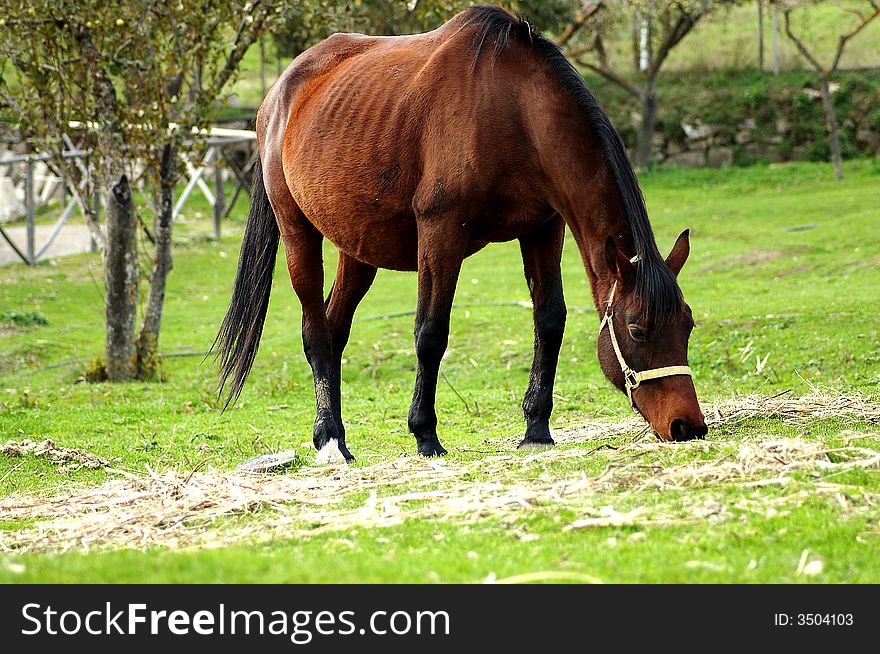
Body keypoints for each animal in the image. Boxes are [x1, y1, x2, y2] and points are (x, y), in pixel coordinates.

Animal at [217, 6, 712, 466]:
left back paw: (336, 435)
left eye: (687, 325)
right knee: (315, 332)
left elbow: (549, 320)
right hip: (298, 233)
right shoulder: (441, 233)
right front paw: (425, 435)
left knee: (334, 329)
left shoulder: (543, 228)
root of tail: (279, 93)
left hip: (357, 249)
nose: (686, 426)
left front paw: (536, 427)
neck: (514, 109)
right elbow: (430, 333)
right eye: (638, 329)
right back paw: (330, 439)